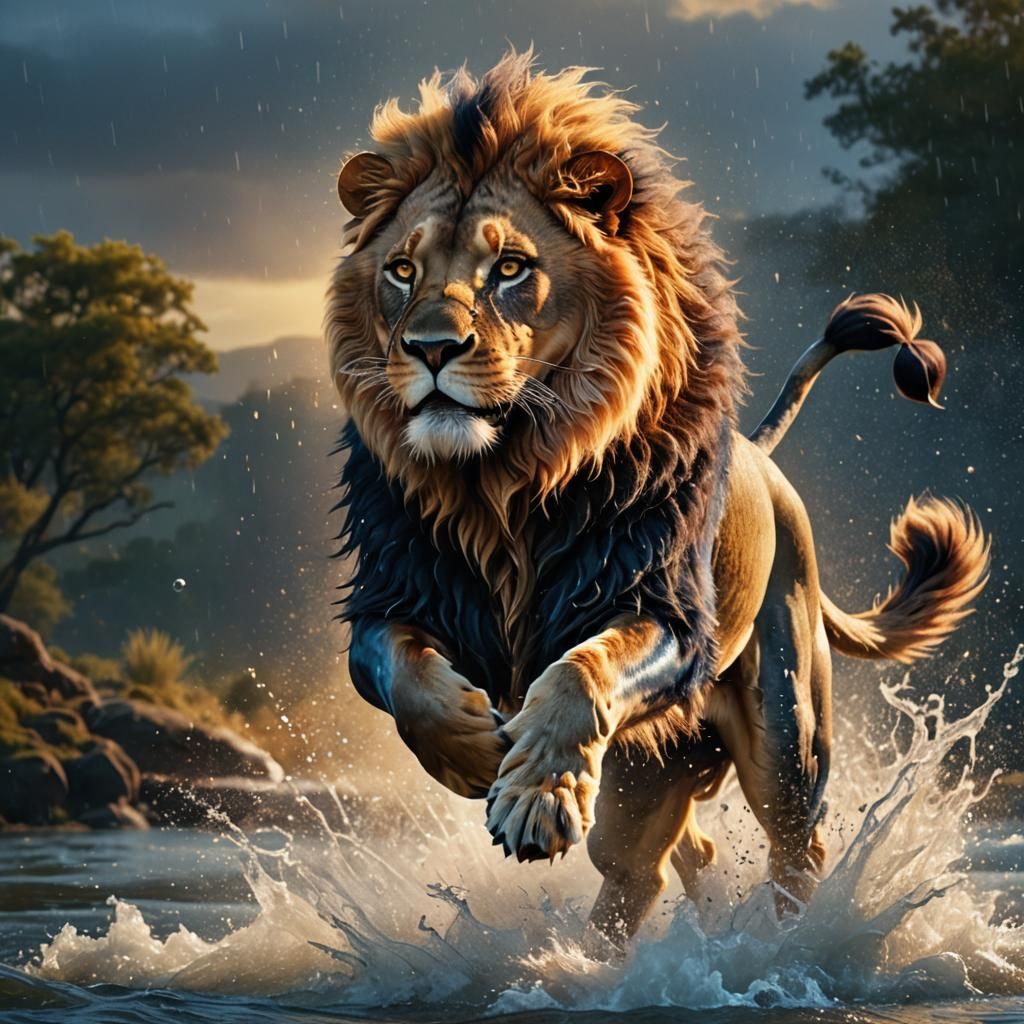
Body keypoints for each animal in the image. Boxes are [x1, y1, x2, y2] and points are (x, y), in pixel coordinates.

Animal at [326, 51, 990, 946]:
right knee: (655, 862)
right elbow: (403, 673)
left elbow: (580, 674)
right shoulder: (395, 596)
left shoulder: (663, 610)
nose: (431, 349)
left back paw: (782, 945)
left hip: (787, 733)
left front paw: (535, 798)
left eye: (510, 269)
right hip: (658, 767)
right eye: (402, 270)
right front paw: (475, 750)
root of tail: (763, 459)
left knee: (793, 850)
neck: (503, 482)